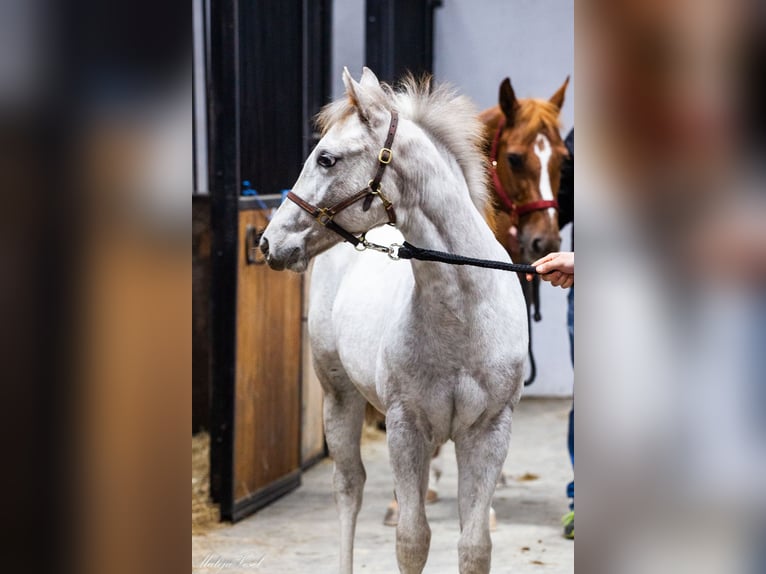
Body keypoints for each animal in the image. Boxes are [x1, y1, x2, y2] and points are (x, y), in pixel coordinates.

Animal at [260, 68, 532, 574]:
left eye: (326, 159)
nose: (270, 242)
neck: (462, 319)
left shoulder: (488, 432)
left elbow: (474, 545)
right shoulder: (407, 428)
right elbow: (412, 540)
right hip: (338, 395)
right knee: (349, 487)